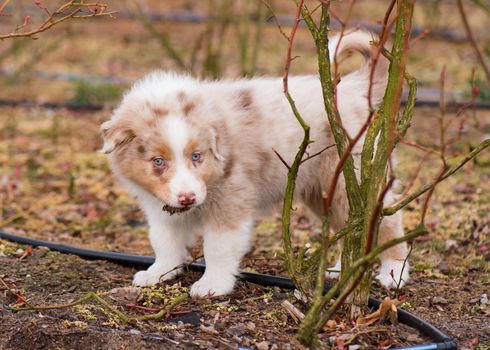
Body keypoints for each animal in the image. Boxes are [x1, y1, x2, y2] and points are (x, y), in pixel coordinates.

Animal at [102, 30, 410, 298]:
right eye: (158, 161)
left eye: (196, 156)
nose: (187, 197)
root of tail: (353, 87)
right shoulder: (162, 205)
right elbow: (164, 239)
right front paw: (159, 272)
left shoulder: (231, 198)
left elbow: (218, 247)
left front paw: (212, 285)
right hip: (326, 190)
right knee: (352, 225)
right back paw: (339, 269)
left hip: (350, 176)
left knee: (387, 221)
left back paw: (393, 272)